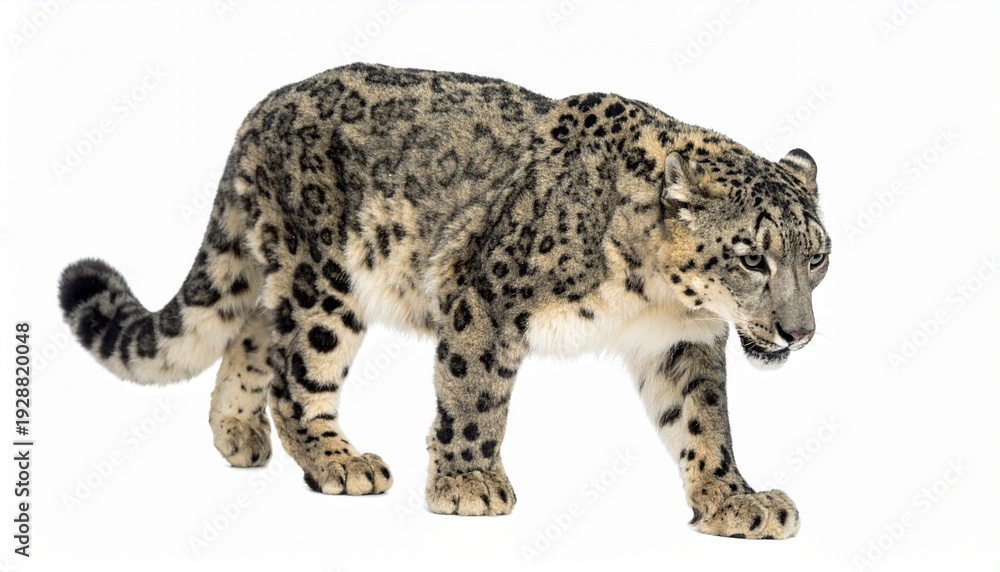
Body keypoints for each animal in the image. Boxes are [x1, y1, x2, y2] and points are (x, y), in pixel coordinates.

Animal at [58, 63, 829, 539]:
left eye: (817, 256)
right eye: (752, 257)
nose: (799, 334)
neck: (654, 297)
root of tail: (260, 111)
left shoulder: (681, 342)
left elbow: (703, 424)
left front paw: (736, 500)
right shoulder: (486, 296)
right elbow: (474, 393)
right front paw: (469, 484)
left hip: (287, 278)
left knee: (250, 333)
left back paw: (237, 435)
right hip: (324, 280)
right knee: (294, 371)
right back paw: (338, 461)